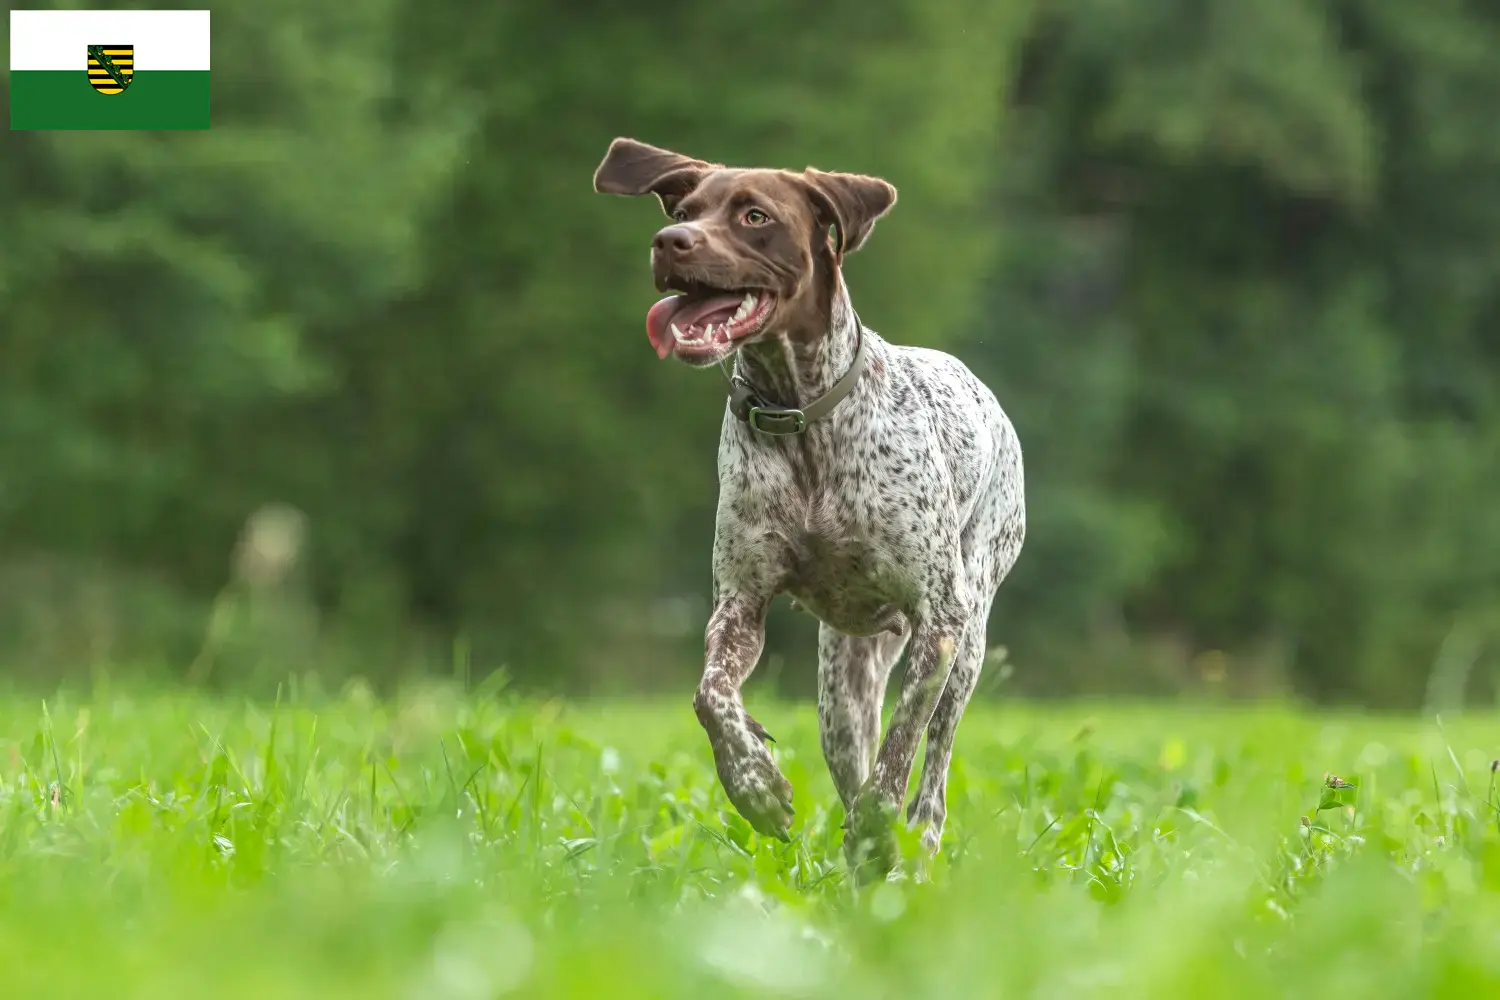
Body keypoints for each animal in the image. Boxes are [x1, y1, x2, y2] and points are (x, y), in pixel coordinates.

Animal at [591, 138, 1026, 875]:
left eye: (755, 216)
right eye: (683, 211)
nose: (670, 242)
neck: (798, 413)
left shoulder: (938, 624)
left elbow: (903, 747)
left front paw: (880, 822)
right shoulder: (740, 606)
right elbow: (711, 697)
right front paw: (756, 787)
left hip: (966, 642)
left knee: (933, 768)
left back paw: (913, 844)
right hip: (841, 689)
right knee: (853, 757)